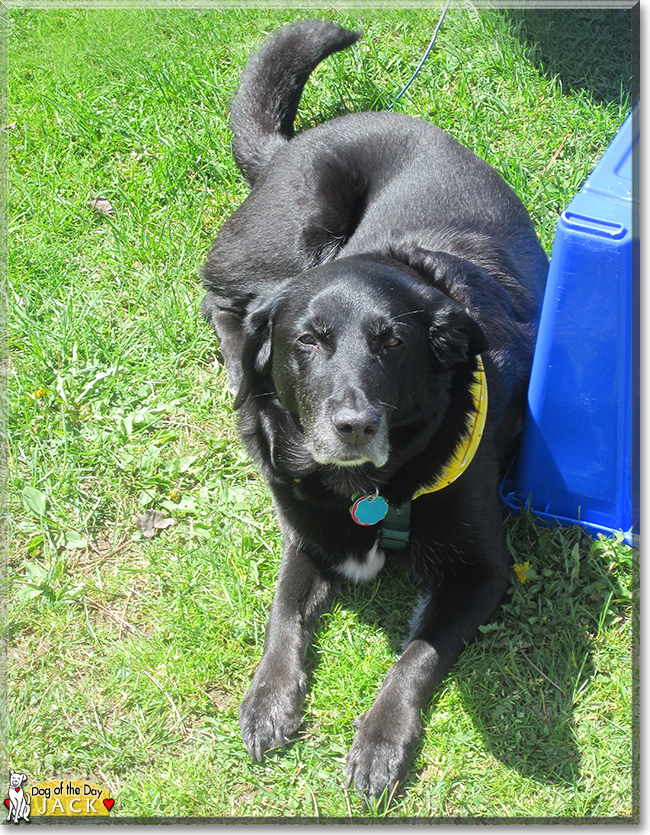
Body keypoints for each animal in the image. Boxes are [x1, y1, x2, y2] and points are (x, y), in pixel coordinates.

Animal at [201, 21, 548, 804]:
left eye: (393, 342)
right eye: (307, 341)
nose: (353, 424)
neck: (366, 492)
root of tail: (296, 141)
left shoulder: (481, 572)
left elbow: (417, 654)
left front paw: (381, 741)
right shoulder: (305, 535)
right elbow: (282, 613)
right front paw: (269, 697)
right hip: (290, 231)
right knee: (219, 298)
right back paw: (235, 362)